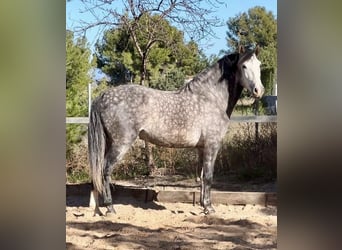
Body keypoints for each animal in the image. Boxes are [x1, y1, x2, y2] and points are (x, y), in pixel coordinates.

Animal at [88, 46, 264, 216]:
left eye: (259, 65)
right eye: (244, 66)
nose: (259, 91)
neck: (211, 98)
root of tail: (103, 96)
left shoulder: (202, 148)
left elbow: (201, 177)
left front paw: (203, 206)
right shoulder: (212, 145)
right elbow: (208, 177)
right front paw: (209, 208)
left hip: (108, 142)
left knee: (97, 171)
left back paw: (98, 209)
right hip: (121, 144)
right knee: (105, 170)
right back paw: (110, 208)